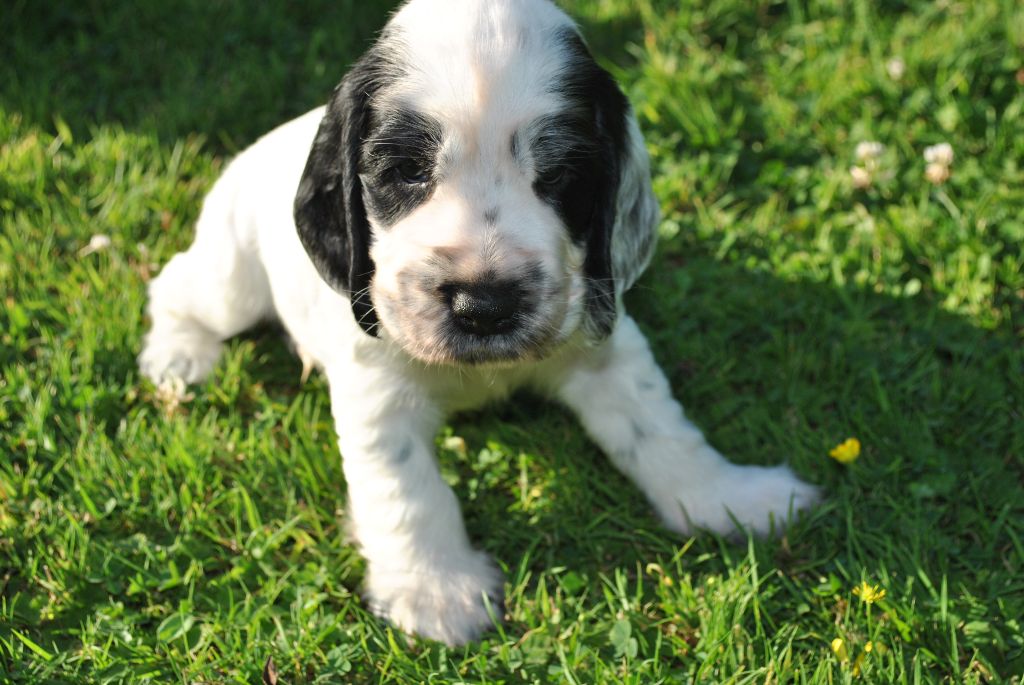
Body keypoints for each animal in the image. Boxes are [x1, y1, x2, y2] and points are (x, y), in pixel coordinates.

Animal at [140, 0, 819, 647]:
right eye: (407, 171)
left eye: (560, 174)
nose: (483, 305)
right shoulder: (378, 389)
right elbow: (408, 490)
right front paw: (436, 592)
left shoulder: (602, 340)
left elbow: (660, 428)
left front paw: (730, 498)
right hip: (231, 276)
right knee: (176, 284)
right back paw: (179, 355)